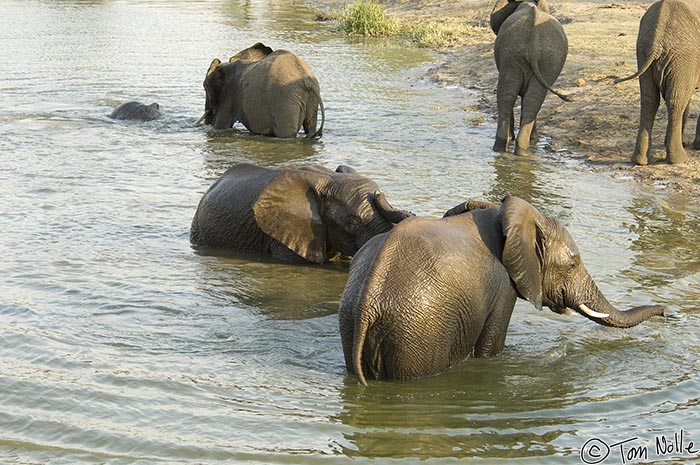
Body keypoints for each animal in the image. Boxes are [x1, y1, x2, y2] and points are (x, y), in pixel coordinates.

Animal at [197, 42, 326, 138]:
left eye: (205, 85)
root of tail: (307, 81)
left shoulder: (228, 96)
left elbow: (221, 125)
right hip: (309, 99)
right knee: (310, 127)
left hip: (285, 100)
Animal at [340, 194, 668, 382]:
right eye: (573, 264)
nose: (666, 312)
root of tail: (369, 301)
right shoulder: (502, 288)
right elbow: (490, 348)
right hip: (418, 332)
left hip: (355, 320)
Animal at [490, 0, 572, 155]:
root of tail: (533, 47)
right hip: (533, 59)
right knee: (526, 99)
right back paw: (517, 147)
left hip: (522, 56)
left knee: (513, 97)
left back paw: (507, 147)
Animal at [612, 0, 700, 165]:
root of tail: (658, 38)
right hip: (683, 55)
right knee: (676, 100)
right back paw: (678, 159)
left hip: (643, 50)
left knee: (649, 100)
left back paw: (641, 160)